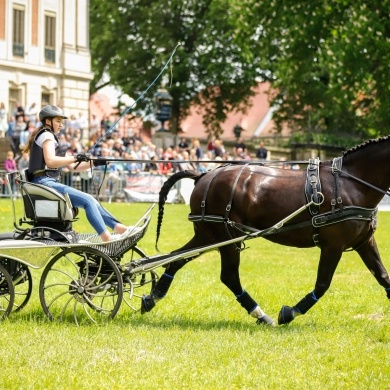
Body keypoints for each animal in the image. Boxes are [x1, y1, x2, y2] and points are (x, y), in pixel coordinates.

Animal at [141, 137, 390, 326]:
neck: (351, 184)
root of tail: (203, 175)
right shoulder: (333, 245)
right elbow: (322, 284)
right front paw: (289, 313)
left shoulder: (364, 242)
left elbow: (383, 276)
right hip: (225, 237)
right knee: (229, 276)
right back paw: (260, 314)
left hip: (208, 235)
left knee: (176, 259)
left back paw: (153, 297)